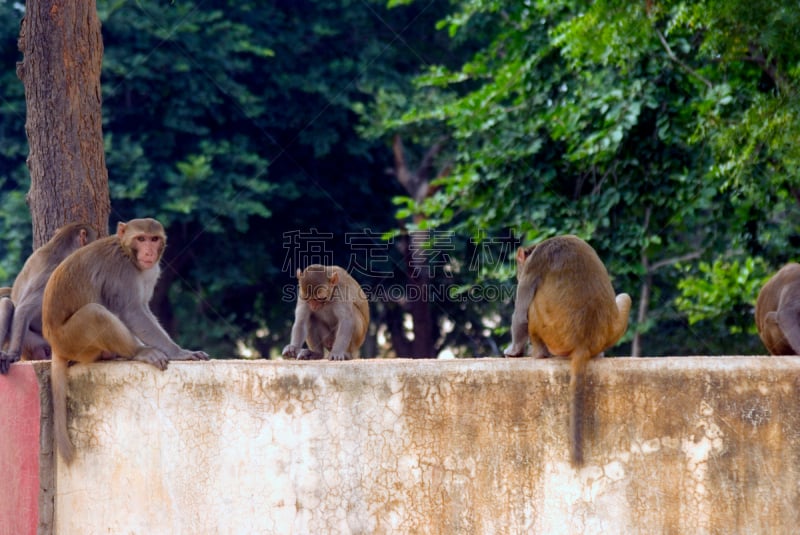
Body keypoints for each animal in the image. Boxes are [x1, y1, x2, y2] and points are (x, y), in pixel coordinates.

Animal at [43, 218, 209, 464]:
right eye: (141, 238)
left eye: (154, 239)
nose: (149, 251)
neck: (128, 253)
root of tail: (54, 343)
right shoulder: (122, 271)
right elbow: (131, 310)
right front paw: (179, 352)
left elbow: (144, 309)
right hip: (71, 339)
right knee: (96, 313)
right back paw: (139, 352)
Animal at [506, 237, 632, 466]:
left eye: (519, 265)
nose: (517, 274)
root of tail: (584, 342)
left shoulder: (533, 266)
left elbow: (520, 315)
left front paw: (513, 351)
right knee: (625, 297)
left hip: (552, 334)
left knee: (532, 308)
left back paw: (539, 354)